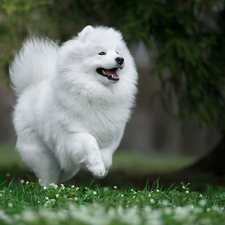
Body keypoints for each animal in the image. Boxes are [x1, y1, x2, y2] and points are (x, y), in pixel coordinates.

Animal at [9, 25, 137, 185]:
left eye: (118, 52)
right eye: (101, 53)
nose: (120, 59)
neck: (96, 92)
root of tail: (30, 86)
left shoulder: (112, 134)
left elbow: (107, 154)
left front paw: (102, 167)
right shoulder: (69, 136)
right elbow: (90, 142)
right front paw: (97, 167)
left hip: (67, 170)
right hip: (43, 156)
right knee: (47, 177)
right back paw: (49, 188)